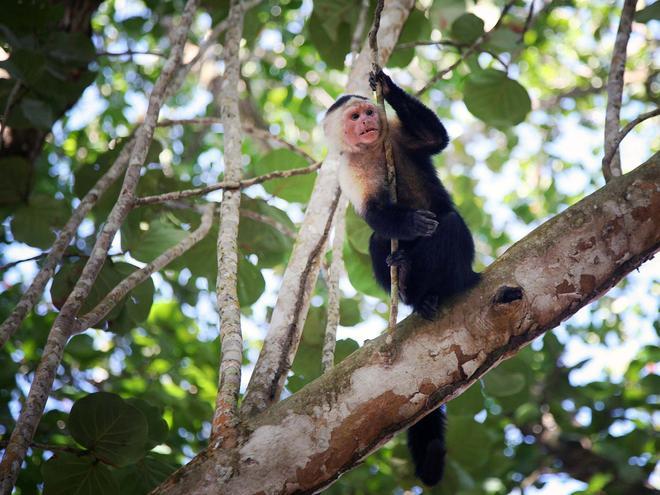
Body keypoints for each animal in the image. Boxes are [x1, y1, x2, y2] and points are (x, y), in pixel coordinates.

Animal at [322, 70, 476, 488]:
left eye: (367, 112)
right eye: (354, 118)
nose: (367, 121)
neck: (373, 149)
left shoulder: (393, 134)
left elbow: (435, 139)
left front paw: (387, 84)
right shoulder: (348, 170)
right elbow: (375, 214)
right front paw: (408, 225)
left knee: (450, 224)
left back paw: (436, 291)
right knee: (379, 240)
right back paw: (406, 280)